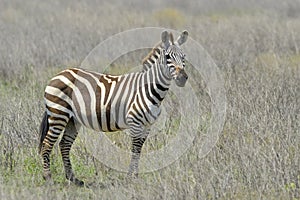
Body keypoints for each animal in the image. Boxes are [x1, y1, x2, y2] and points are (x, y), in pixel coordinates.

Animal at [39, 30, 189, 186]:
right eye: (167, 57)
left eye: (184, 57)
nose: (182, 78)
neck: (149, 89)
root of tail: (59, 74)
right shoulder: (135, 122)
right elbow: (135, 149)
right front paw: (131, 178)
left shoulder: (147, 126)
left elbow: (139, 150)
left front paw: (135, 177)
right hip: (59, 114)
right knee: (47, 144)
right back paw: (48, 178)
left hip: (72, 120)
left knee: (64, 145)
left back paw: (73, 179)